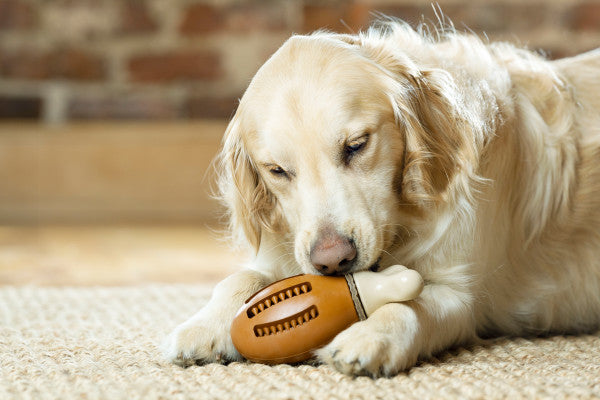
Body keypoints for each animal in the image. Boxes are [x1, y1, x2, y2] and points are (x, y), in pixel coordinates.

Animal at [163, 21, 600, 378]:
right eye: (277, 171)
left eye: (356, 145)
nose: (332, 260)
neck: (404, 221)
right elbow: (242, 278)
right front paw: (201, 326)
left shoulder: (463, 295)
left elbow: (410, 304)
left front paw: (370, 337)